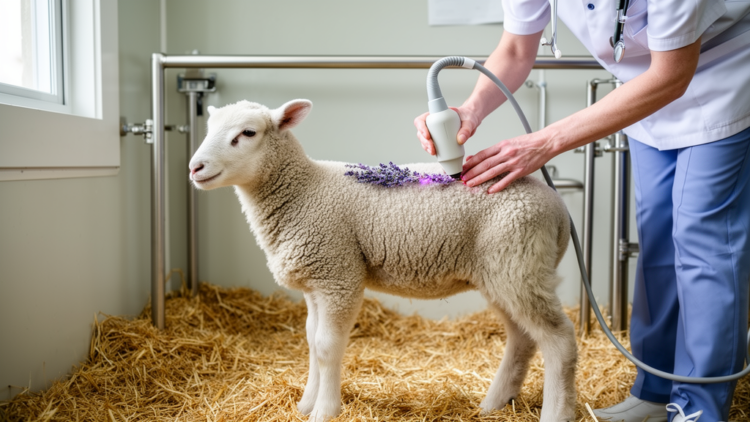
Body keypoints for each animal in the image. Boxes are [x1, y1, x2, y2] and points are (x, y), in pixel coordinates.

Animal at [188, 99, 577, 422]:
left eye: (247, 133)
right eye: (208, 129)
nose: (195, 167)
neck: (303, 191)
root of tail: (558, 209)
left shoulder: (338, 275)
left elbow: (327, 347)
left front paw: (325, 411)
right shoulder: (314, 282)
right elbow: (312, 342)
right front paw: (306, 404)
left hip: (518, 263)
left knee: (559, 340)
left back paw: (556, 412)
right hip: (503, 271)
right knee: (522, 338)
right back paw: (494, 403)